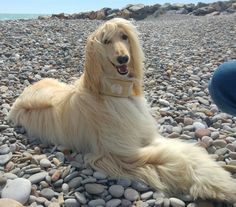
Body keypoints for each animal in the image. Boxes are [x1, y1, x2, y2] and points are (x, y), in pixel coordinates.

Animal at [8, 17, 236, 202]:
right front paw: (221, 186)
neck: (114, 94)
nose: (123, 59)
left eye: (125, 37)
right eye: (106, 41)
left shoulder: (144, 137)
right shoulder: (121, 153)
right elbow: (176, 157)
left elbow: (186, 151)